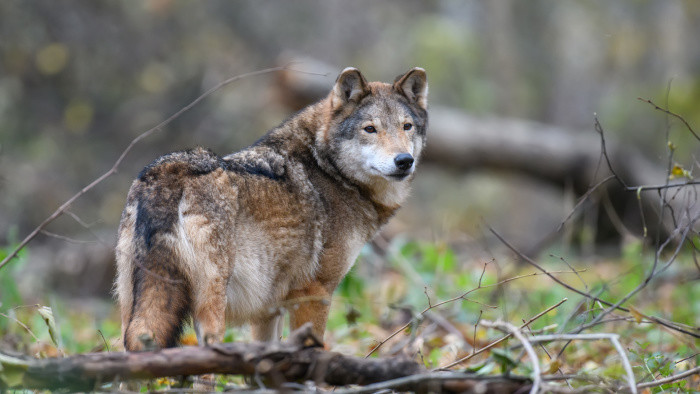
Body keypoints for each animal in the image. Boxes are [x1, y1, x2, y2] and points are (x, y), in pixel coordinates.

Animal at [116, 66, 426, 350]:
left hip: (132, 308)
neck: (328, 169)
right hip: (210, 309)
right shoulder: (314, 293)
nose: (404, 161)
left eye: (406, 126)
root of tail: (169, 172)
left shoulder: (268, 310)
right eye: (370, 129)